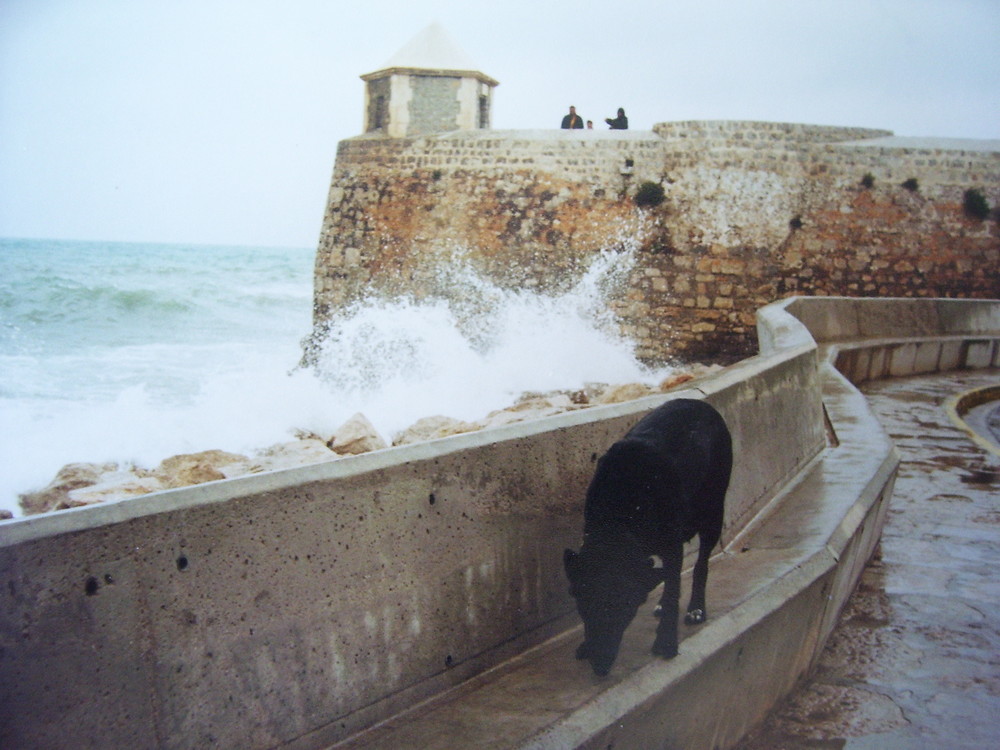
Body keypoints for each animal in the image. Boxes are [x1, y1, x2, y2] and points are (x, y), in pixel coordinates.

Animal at [564, 402, 736, 680]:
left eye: (627, 610)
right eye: (584, 606)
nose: (600, 667)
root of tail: (703, 404)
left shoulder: (673, 547)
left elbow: (675, 586)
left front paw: (666, 642)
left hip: (712, 513)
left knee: (700, 565)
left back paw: (696, 609)